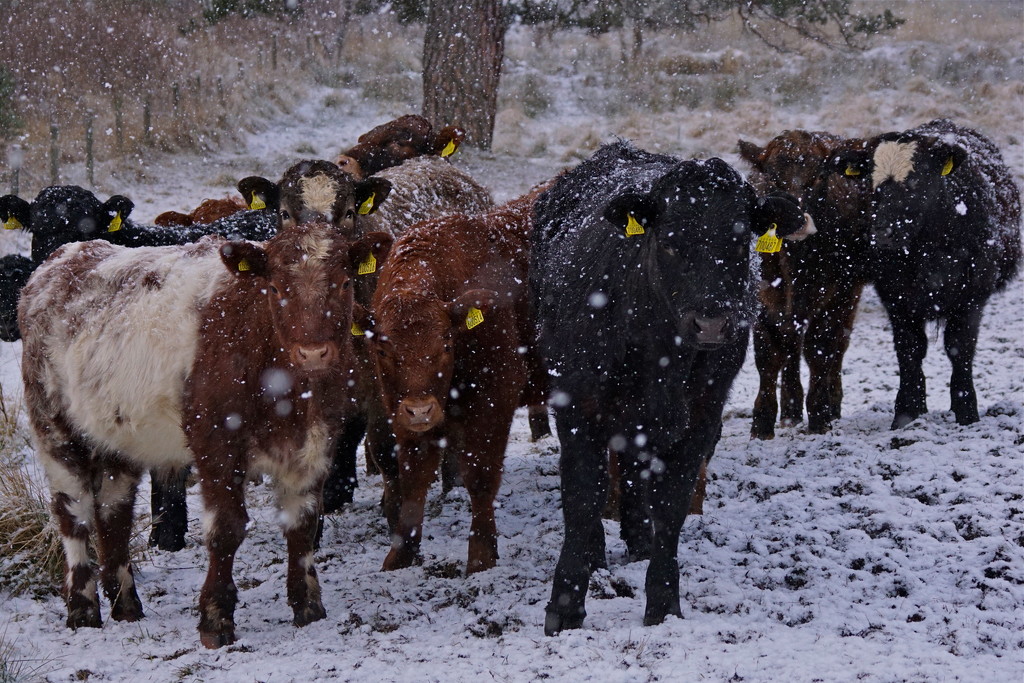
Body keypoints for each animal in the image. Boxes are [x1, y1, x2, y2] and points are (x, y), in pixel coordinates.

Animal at [19, 222, 395, 651]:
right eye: (276, 287)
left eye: (345, 282)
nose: (314, 352)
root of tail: (63, 257)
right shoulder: (216, 444)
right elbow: (226, 529)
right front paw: (216, 619)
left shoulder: (315, 443)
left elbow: (303, 523)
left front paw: (309, 608)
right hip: (54, 427)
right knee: (74, 514)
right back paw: (82, 610)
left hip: (116, 436)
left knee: (114, 513)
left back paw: (126, 604)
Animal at [362, 184, 552, 573]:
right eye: (384, 350)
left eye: (446, 343)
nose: (421, 410)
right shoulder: (401, 415)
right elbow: (413, 480)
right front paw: (401, 554)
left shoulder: (495, 400)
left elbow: (480, 476)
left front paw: (481, 556)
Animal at [528, 141, 806, 638]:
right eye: (671, 241)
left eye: (740, 240)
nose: (711, 322)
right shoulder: (578, 404)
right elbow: (582, 498)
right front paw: (566, 607)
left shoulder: (702, 414)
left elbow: (671, 503)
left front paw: (662, 603)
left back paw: (639, 541)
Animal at [741, 129, 876, 438]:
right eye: (772, 177)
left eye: (818, 176)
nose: (797, 221)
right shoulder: (764, 300)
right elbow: (768, 355)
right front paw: (762, 422)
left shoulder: (836, 296)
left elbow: (820, 350)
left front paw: (820, 415)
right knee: (791, 346)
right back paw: (790, 410)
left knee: (837, 345)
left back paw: (831, 403)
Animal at [860, 118, 1019, 428]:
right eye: (873, 186)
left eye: (915, 181)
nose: (882, 233)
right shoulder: (895, 298)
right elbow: (909, 350)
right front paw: (906, 414)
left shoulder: (972, 297)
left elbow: (960, 348)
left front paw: (967, 413)